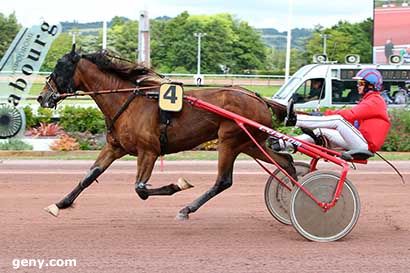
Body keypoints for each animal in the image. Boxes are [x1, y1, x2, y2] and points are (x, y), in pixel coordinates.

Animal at [37, 46, 294, 220]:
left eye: (60, 67)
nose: (42, 97)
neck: (128, 100)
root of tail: (259, 98)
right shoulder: (115, 146)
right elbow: (90, 176)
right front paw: (59, 204)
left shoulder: (149, 151)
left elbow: (140, 189)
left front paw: (178, 185)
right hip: (250, 143)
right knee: (286, 161)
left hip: (230, 141)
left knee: (223, 181)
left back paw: (187, 209)